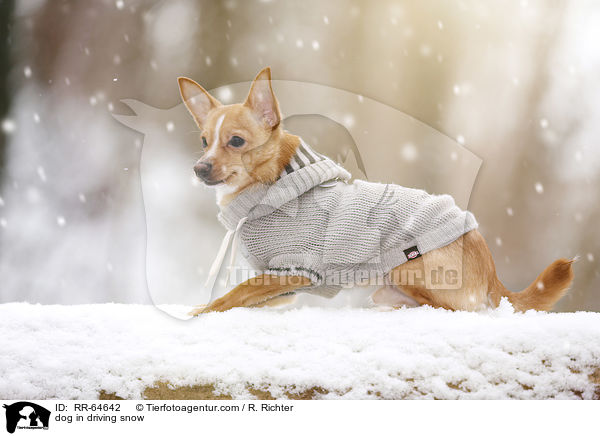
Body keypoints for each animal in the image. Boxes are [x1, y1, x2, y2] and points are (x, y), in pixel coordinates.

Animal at [179, 67, 576, 314]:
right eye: (203, 142)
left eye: (235, 141)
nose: (199, 168)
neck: (268, 189)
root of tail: (492, 271)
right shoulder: (284, 287)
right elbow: (244, 296)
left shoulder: (296, 270)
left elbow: (234, 293)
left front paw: (202, 312)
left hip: (407, 268)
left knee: (453, 308)